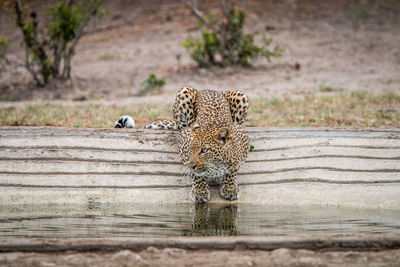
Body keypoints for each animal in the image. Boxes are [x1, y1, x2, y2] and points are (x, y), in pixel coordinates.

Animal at [114, 87, 248, 204]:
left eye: (204, 150)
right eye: (191, 149)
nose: (193, 165)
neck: (215, 165)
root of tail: (209, 89)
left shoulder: (243, 139)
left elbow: (233, 169)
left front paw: (230, 187)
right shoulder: (185, 141)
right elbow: (194, 173)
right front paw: (200, 191)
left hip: (241, 96)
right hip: (185, 94)